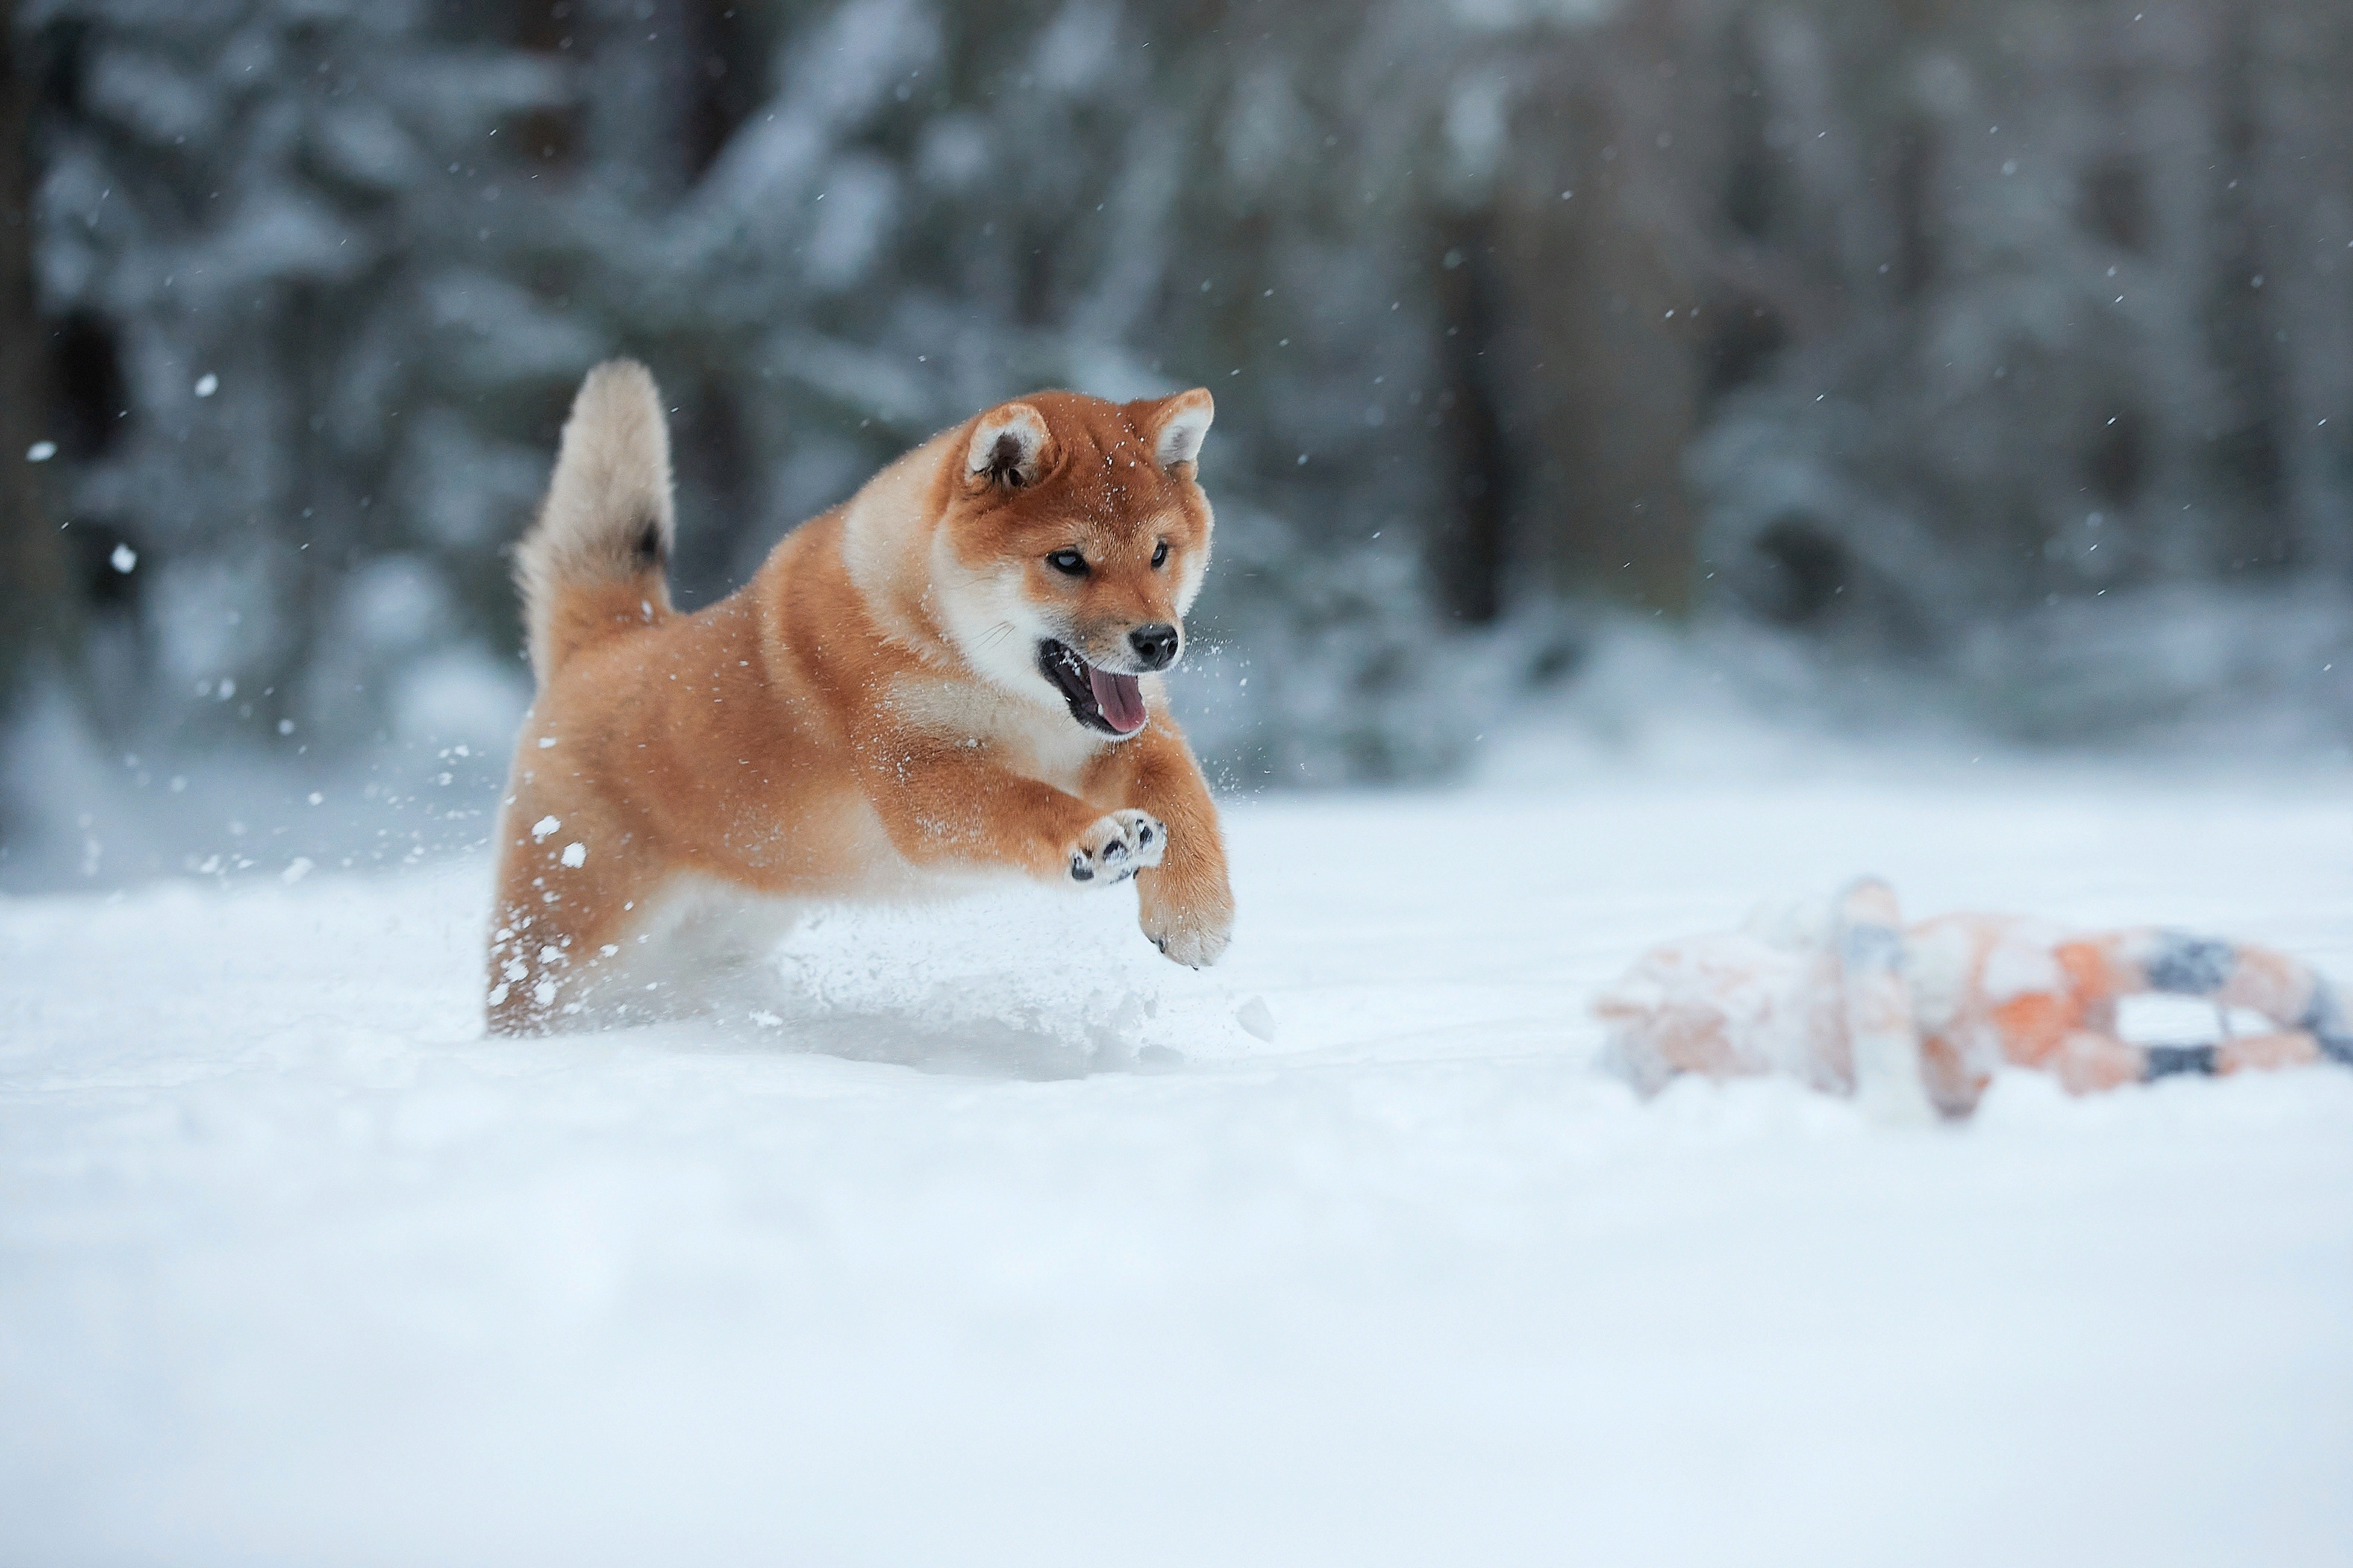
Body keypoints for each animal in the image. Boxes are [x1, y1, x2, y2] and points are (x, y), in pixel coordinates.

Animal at [489, 362, 1242, 1034]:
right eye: (1068, 560)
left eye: (1160, 552)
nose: (1158, 641)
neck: (989, 679)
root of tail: (606, 641)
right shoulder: (915, 775)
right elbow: (1024, 803)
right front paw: (1096, 838)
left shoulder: (1128, 734)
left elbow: (1182, 796)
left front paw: (1195, 916)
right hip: (570, 936)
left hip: (722, 929)